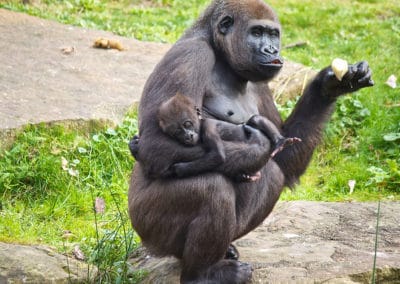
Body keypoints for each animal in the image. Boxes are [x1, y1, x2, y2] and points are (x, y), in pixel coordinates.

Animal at [129, 93, 300, 182]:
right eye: (177, 132)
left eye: (187, 124)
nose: (188, 136)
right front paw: (134, 146)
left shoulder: (208, 127)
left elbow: (217, 156)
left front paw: (178, 169)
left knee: (255, 120)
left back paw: (280, 142)